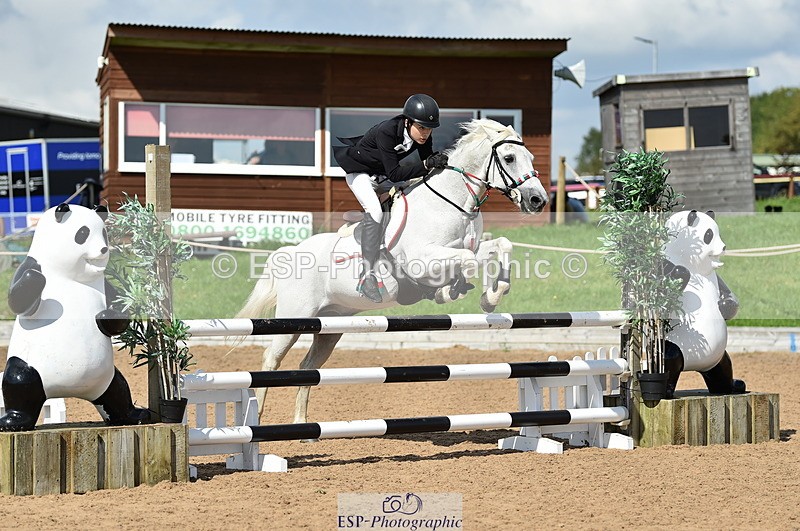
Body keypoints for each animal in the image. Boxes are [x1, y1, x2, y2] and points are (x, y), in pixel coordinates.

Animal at [237, 118, 549, 424]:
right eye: (509, 158)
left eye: (531, 158)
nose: (538, 200)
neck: (452, 202)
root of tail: (288, 252)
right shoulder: (422, 260)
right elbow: (467, 260)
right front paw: (453, 291)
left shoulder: (471, 247)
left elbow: (500, 246)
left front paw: (491, 297)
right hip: (295, 317)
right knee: (271, 359)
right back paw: (256, 418)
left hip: (330, 325)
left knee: (308, 367)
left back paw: (301, 423)